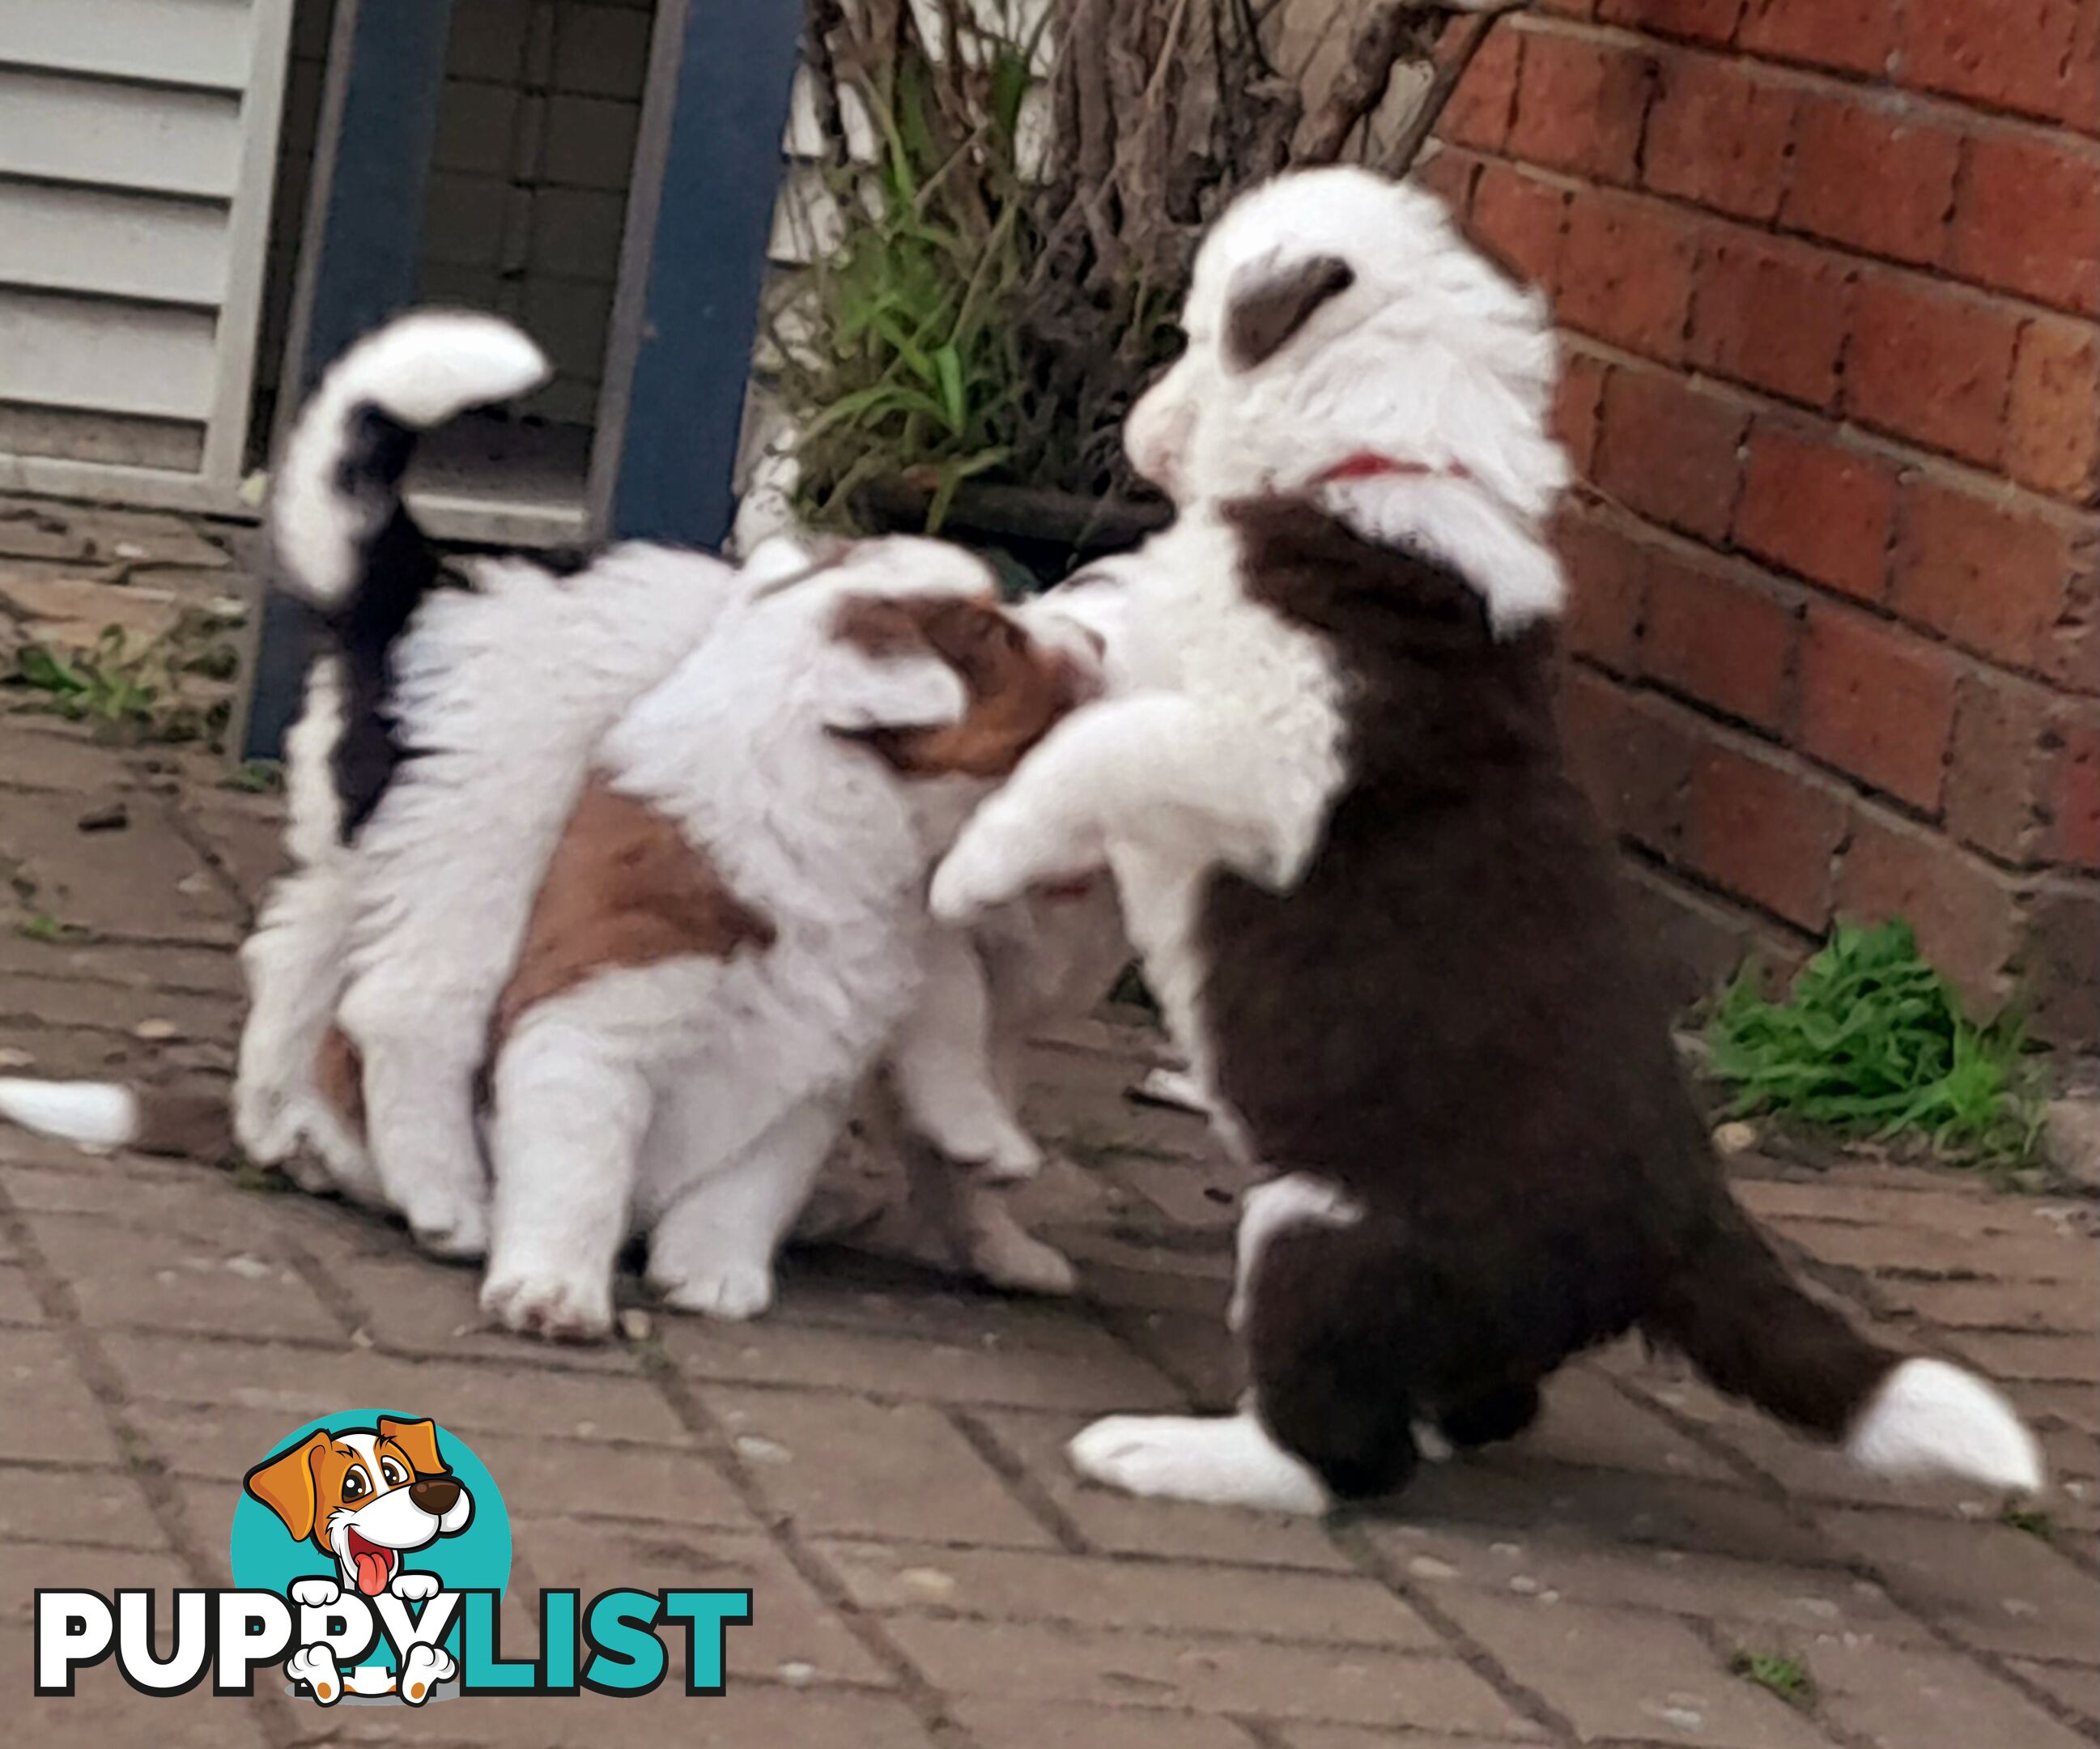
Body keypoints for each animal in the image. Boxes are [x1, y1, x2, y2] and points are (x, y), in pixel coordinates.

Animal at [928, 164, 2041, 1511]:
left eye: (1197, 336)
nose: (1138, 436)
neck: (1379, 469)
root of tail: (1679, 1224)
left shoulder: (1264, 762)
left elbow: (1093, 746)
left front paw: (971, 867)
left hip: (1326, 1235)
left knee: (1337, 1455)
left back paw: (1170, 1452)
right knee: (1482, 1404)